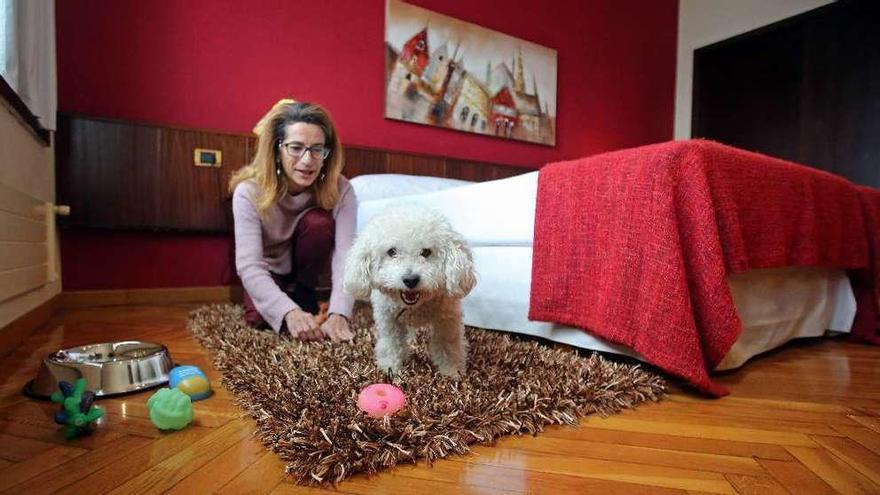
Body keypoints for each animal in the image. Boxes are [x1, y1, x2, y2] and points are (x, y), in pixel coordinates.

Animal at [346, 207, 478, 378]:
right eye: (392, 252)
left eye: (426, 252)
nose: (410, 280)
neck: (415, 307)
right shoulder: (388, 318)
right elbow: (392, 343)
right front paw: (391, 367)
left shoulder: (447, 319)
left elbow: (447, 344)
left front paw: (451, 371)